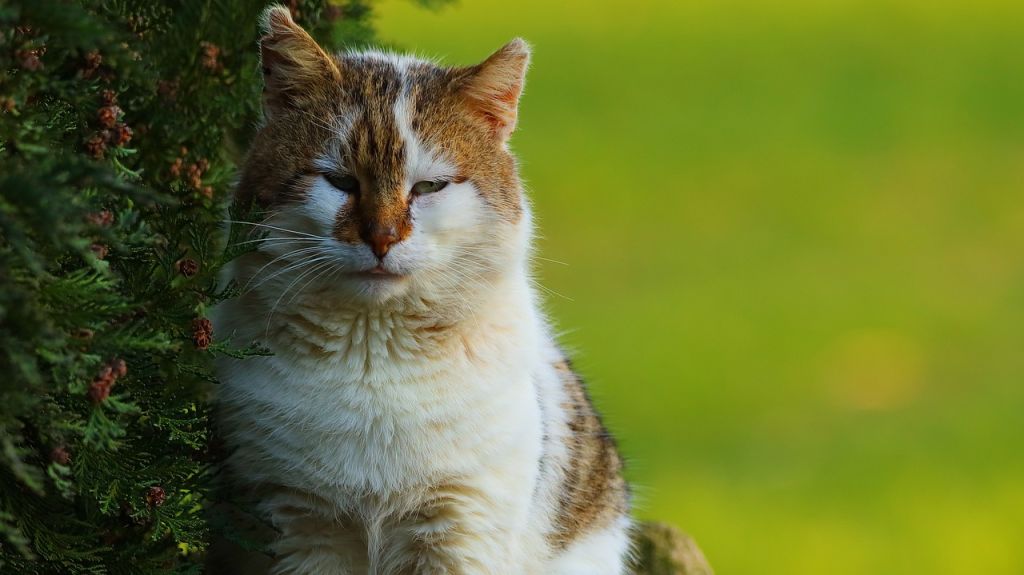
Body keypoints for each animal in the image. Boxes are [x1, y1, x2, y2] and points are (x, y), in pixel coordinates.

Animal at [214, 5, 630, 572]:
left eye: (429, 187)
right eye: (341, 181)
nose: (382, 237)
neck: (373, 360)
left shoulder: (461, 525)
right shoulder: (295, 524)